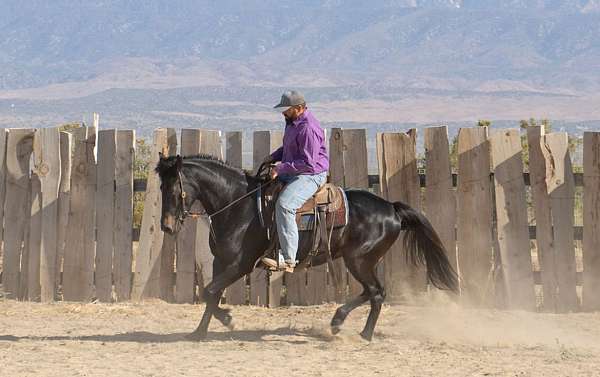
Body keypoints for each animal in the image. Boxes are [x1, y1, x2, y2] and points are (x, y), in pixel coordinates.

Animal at [157, 153, 458, 340]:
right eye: (160, 188)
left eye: (174, 189)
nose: (167, 227)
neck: (238, 204)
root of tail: (391, 209)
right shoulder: (221, 262)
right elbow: (211, 294)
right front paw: (200, 332)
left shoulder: (239, 264)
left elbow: (209, 291)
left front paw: (228, 320)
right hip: (360, 261)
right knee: (371, 292)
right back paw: (344, 324)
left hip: (359, 260)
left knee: (376, 292)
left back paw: (359, 332)